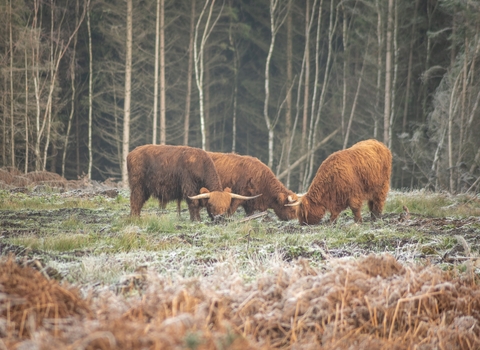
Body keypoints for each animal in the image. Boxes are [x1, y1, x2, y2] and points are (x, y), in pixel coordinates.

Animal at [127, 145, 258, 221]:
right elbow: (193, 204)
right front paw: (195, 220)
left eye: (226, 206)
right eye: (211, 205)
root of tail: (131, 153)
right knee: (136, 201)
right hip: (138, 186)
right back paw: (135, 219)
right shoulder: (188, 187)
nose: (219, 217)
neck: (201, 165)